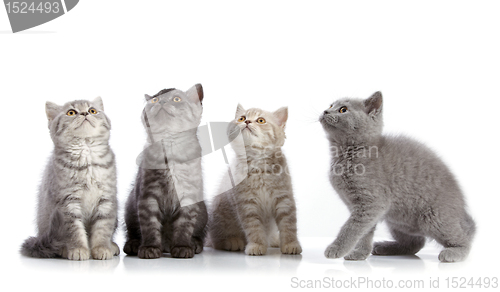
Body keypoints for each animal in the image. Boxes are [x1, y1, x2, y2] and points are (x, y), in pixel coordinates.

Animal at [22, 97, 119, 260]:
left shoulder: (107, 199)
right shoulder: (67, 202)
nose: (85, 113)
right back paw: (63, 249)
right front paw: (79, 250)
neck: (87, 156)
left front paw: (102, 248)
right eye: (71, 112)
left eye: (93, 110)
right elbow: (75, 231)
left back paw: (112, 246)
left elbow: (103, 227)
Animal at [126, 84, 210, 258]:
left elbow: (184, 225)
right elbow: (149, 225)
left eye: (176, 99)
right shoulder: (147, 195)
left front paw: (182, 247)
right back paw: (133, 245)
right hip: (129, 206)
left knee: (199, 234)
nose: (161, 101)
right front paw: (149, 248)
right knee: (132, 231)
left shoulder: (189, 194)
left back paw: (195, 244)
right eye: (154, 100)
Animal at [209, 104, 302, 256]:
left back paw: (274, 240)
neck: (259, 166)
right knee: (216, 241)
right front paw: (256, 246)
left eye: (261, 120)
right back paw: (232, 241)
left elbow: (288, 224)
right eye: (241, 118)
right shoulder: (247, 203)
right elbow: (254, 228)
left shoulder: (284, 198)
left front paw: (290, 244)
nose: (247, 122)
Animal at [320, 92, 476, 264]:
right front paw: (359, 253)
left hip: (434, 218)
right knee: (416, 243)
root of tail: (461, 211)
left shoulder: (372, 203)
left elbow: (351, 228)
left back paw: (453, 252)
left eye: (343, 109)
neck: (346, 154)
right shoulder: (362, 208)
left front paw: (336, 249)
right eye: (330, 105)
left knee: (463, 239)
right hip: (397, 221)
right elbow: (364, 232)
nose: (325, 111)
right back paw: (385, 247)